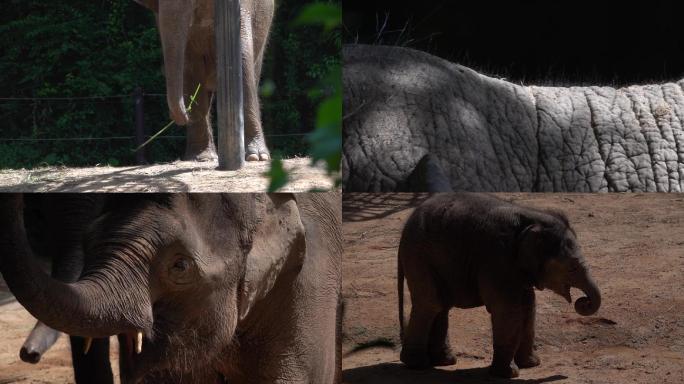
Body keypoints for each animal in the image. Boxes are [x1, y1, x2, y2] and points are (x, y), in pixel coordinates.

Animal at [398, 194, 600, 380]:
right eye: (572, 268)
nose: (583, 301)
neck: (533, 218)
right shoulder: (498, 257)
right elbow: (508, 309)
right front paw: (509, 374)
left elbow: (528, 306)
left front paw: (532, 364)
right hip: (419, 256)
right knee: (431, 303)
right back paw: (418, 364)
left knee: (441, 305)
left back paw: (445, 361)